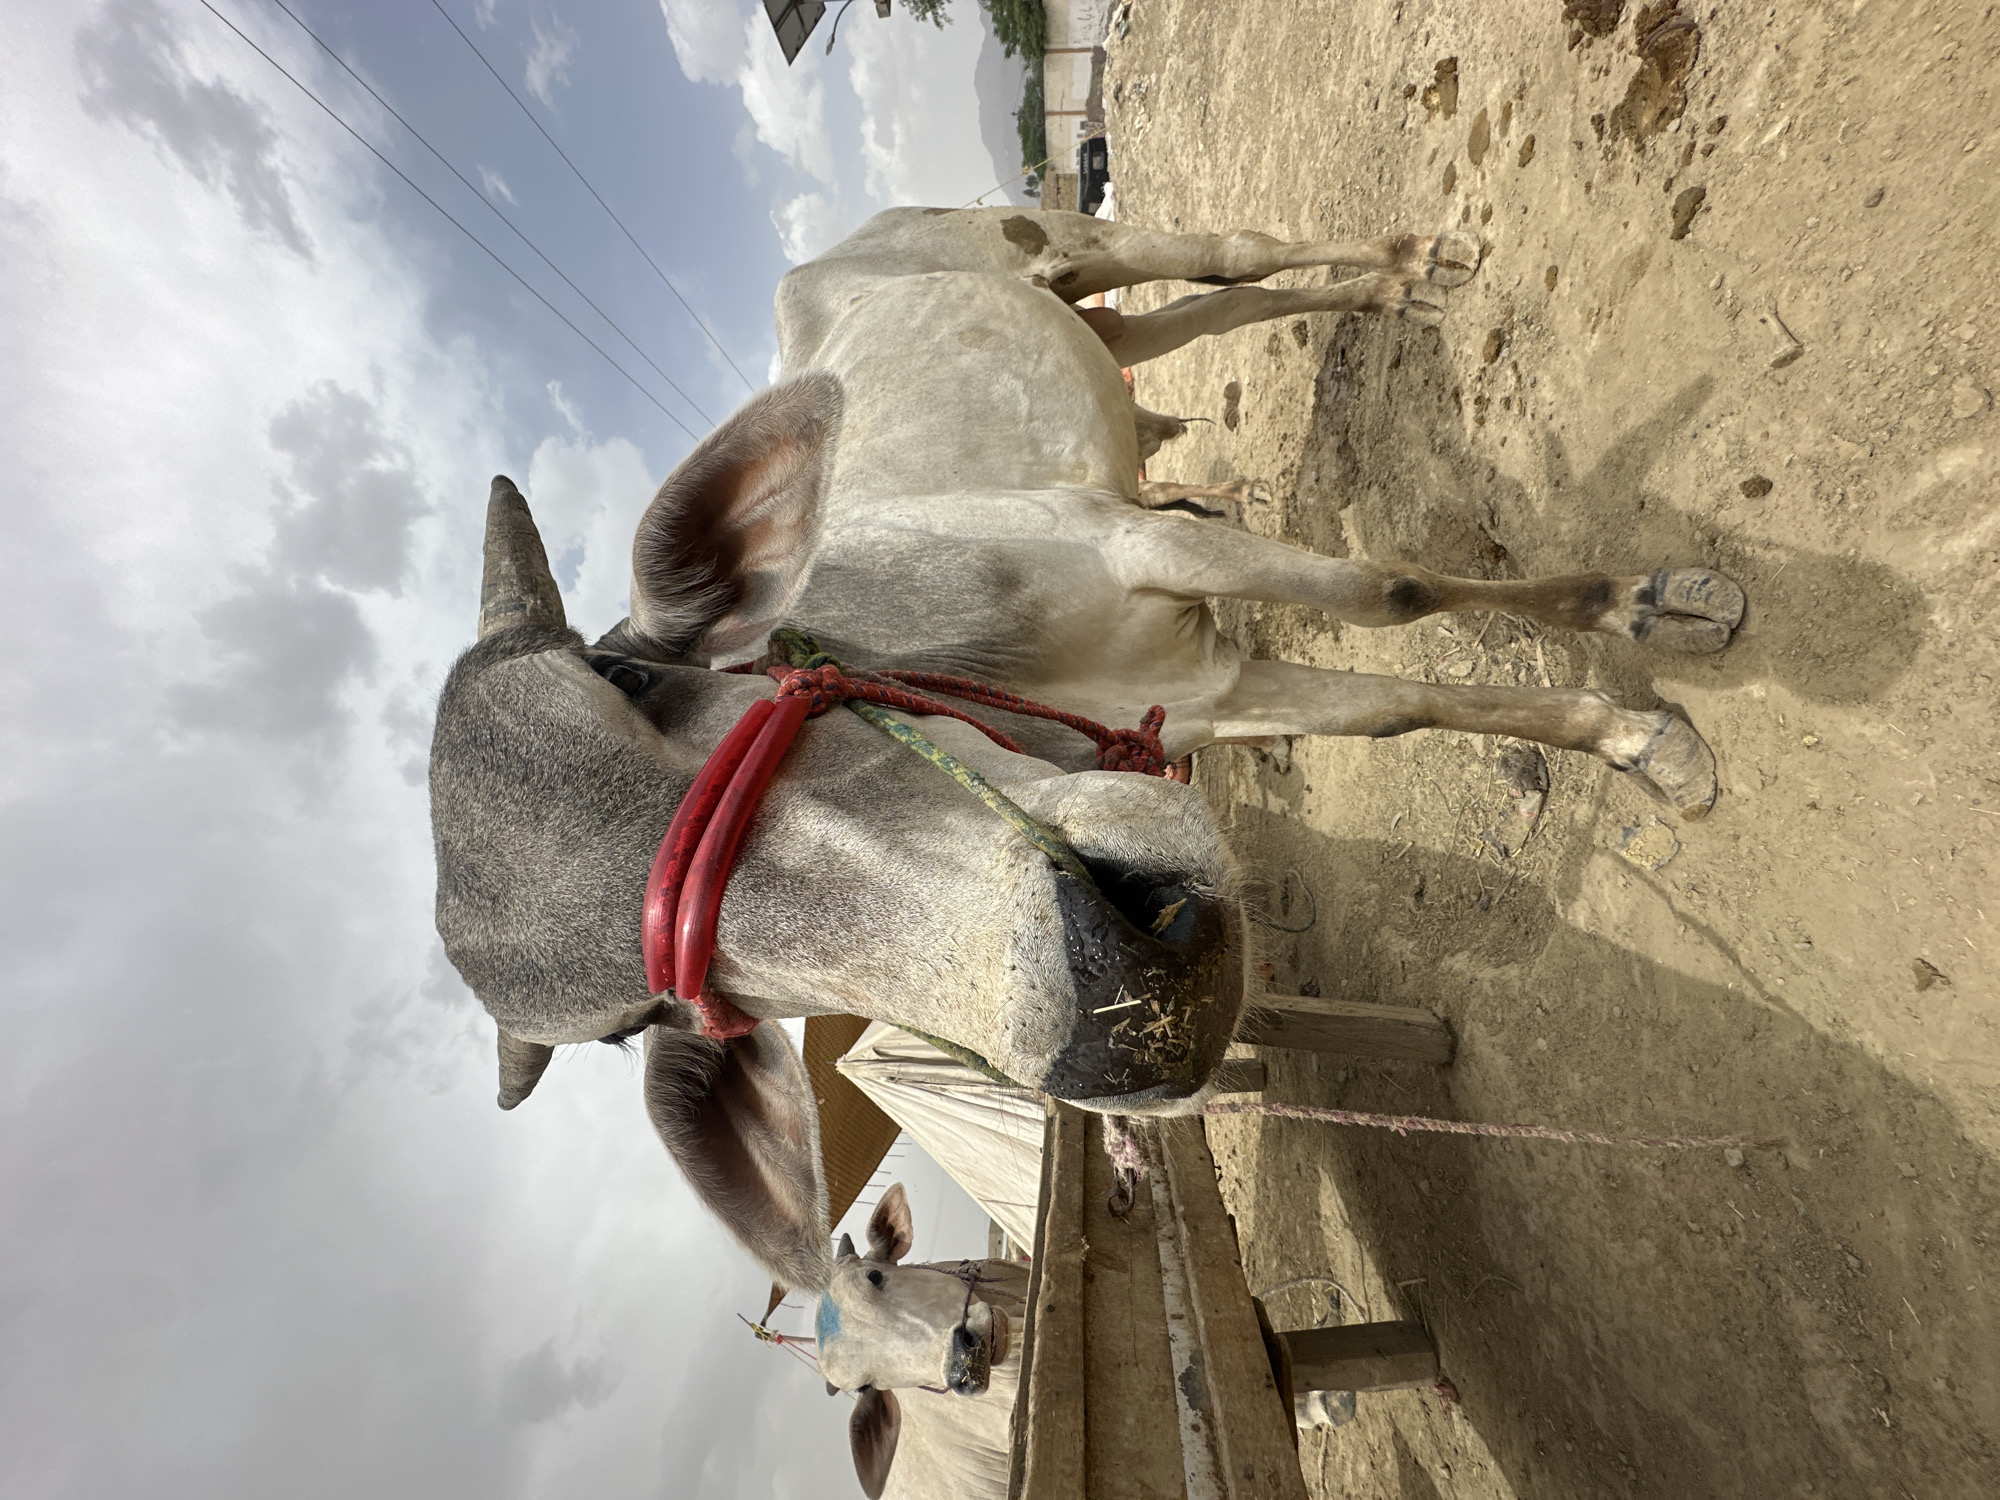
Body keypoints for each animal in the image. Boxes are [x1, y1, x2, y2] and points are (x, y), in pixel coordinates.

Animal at [428, 207, 1745, 1288]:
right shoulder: (1204, 689)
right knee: (1208, 312)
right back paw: (1390, 291)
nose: (1126, 1001)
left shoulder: (1134, 544)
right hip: (1093, 321)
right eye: (644, 1019)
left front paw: (1650, 619)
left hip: (1060, 242)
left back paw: (1410, 264)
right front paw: (1631, 735)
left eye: (635, 683)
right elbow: (1391, 704)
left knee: (1223, 257)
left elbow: (1396, 591)